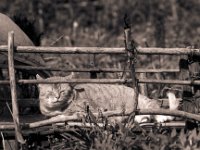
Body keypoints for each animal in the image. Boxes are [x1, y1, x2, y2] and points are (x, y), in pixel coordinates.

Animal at [36, 74, 180, 123]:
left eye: (62, 91)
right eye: (50, 92)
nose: (57, 97)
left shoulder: (83, 110)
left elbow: (64, 115)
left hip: (143, 104)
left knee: (155, 109)